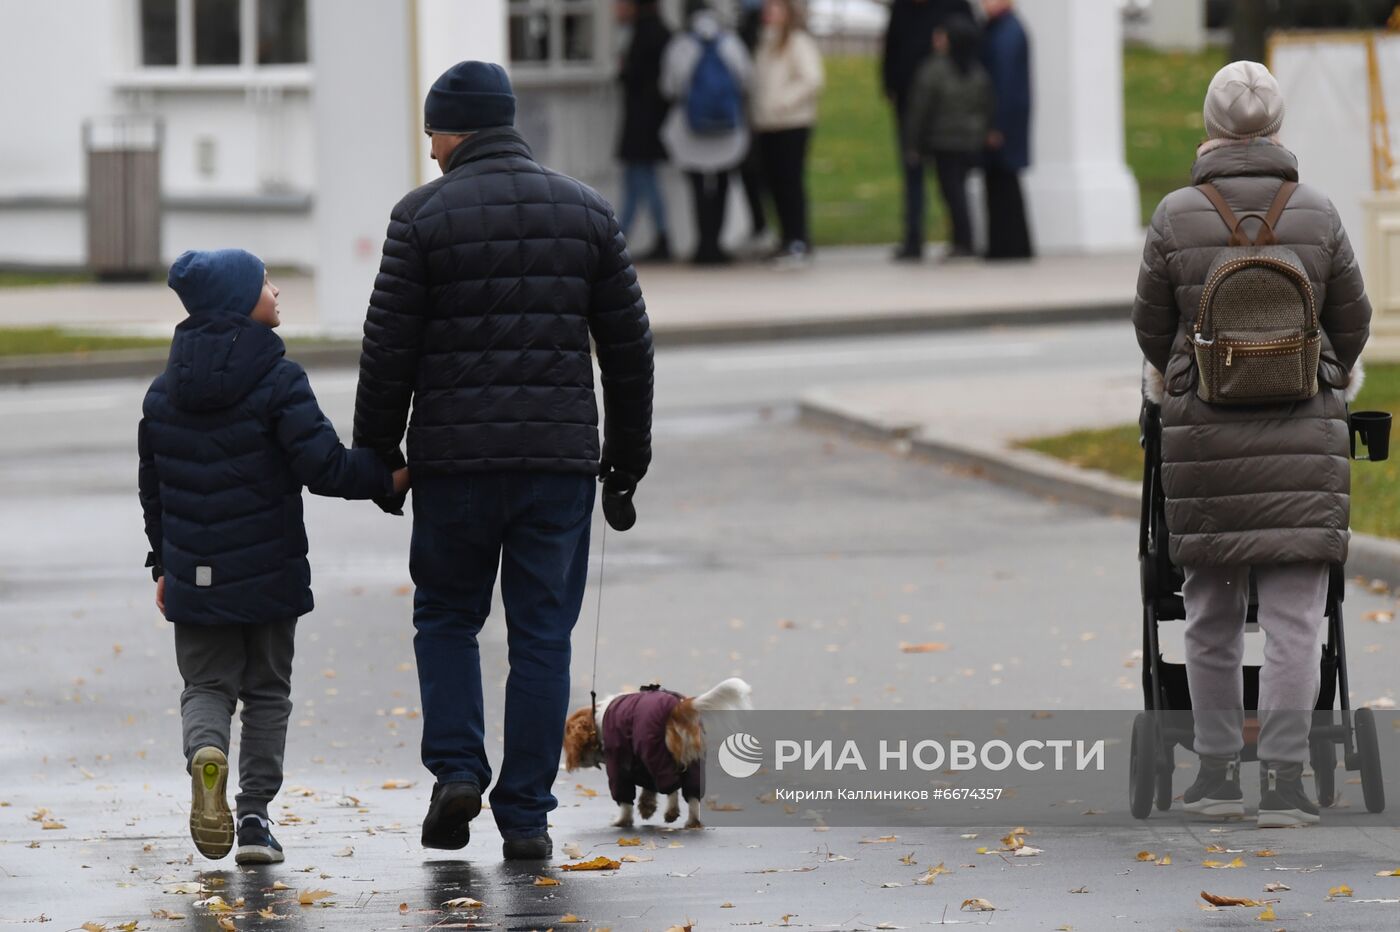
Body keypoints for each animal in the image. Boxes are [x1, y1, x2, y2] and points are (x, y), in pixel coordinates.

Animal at [560, 674, 750, 828]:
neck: (598, 720)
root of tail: (677, 706)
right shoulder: (641, 764)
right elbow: (649, 789)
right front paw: (646, 807)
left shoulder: (619, 764)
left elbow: (625, 799)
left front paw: (622, 820)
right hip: (694, 762)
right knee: (692, 794)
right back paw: (692, 821)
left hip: (655, 753)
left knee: (671, 786)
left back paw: (672, 812)